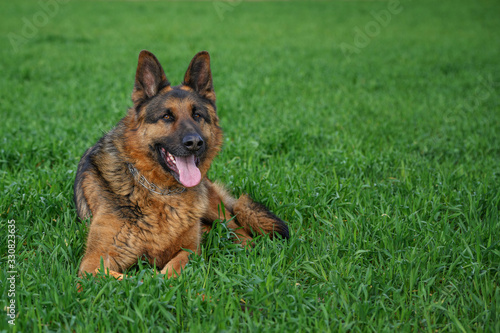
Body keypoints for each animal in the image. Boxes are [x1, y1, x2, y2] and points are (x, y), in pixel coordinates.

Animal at [76, 50, 292, 278]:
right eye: (166, 116)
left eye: (197, 115)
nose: (195, 143)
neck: (161, 192)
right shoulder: (93, 264)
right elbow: (131, 279)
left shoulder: (189, 250)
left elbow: (170, 271)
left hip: (214, 209)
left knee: (238, 229)